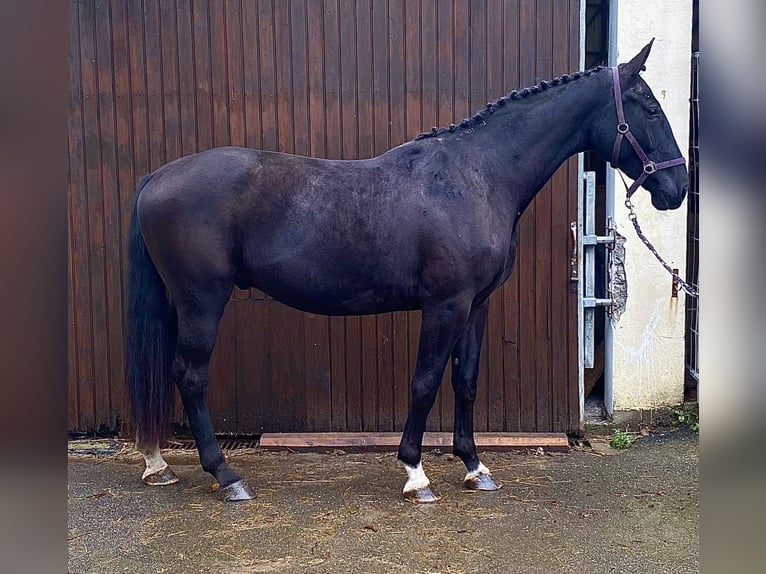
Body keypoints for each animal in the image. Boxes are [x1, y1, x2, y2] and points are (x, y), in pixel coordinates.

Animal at [126, 42, 688, 504]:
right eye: (650, 107)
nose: (678, 187)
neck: (477, 175)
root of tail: (157, 176)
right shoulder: (445, 304)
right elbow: (424, 382)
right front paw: (416, 475)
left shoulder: (476, 304)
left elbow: (465, 380)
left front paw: (474, 467)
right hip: (202, 300)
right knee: (190, 375)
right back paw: (226, 476)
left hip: (180, 302)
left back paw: (159, 465)